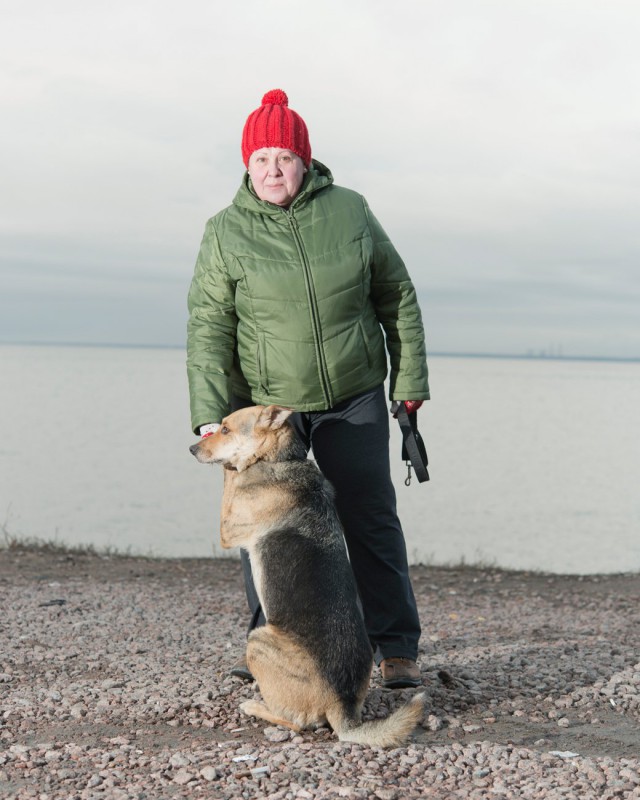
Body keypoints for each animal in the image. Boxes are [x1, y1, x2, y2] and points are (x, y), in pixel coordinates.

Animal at [190, 406, 424, 752]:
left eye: (225, 429)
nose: (192, 448)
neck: (280, 459)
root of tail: (341, 705)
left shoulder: (229, 529)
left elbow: (231, 474)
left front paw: (235, 463)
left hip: (258, 640)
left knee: (298, 723)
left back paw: (254, 706)